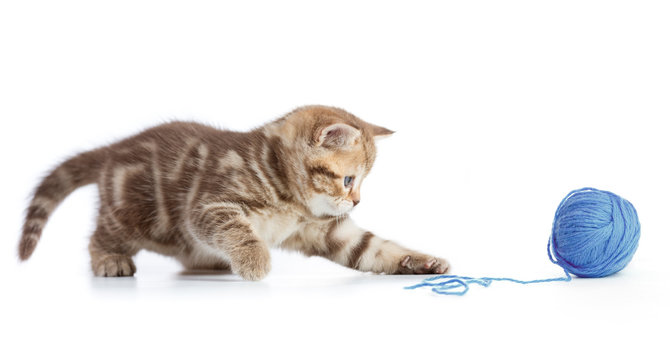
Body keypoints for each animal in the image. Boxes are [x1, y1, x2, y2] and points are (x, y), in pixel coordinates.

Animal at [18, 105, 452, 280]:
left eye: (360, 182)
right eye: (349, 180)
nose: (358, 200)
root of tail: (114, 149)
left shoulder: (326, 228)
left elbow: (372, 248)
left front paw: (421, 261)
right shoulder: (208, 205)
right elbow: (236, 230)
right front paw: (255, 260)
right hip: (133, 215)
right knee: (101, 234)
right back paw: (109, 260)